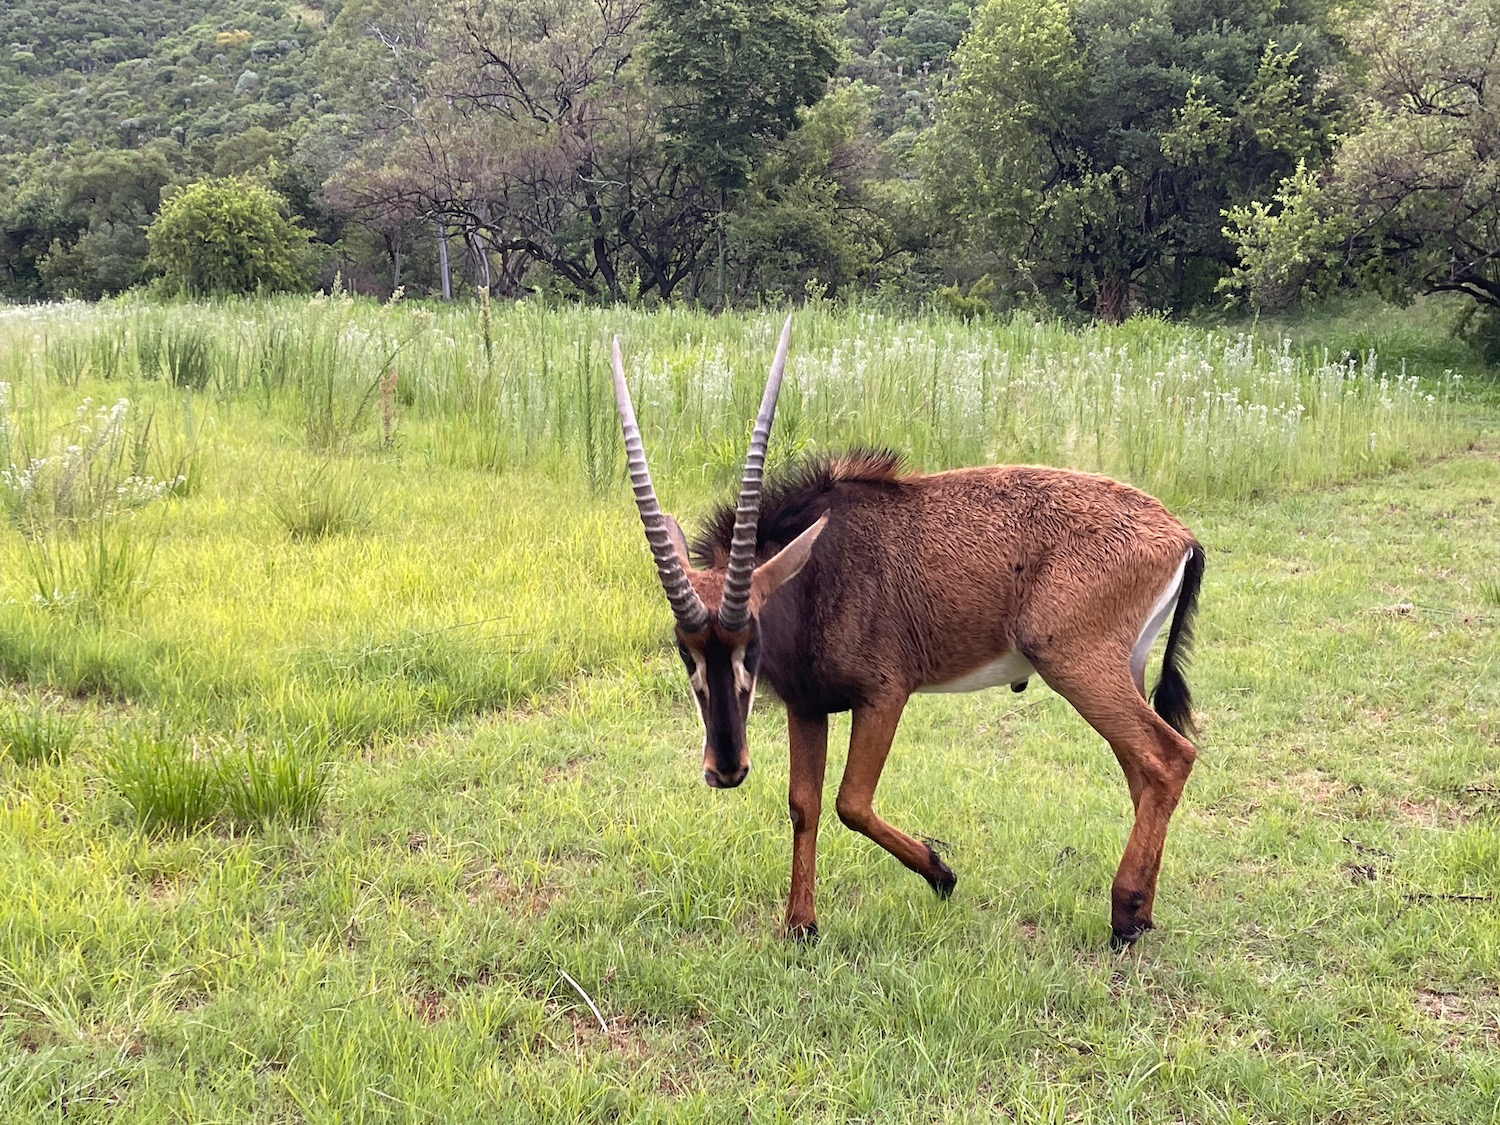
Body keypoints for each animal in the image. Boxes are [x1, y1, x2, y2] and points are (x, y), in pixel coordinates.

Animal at [609, 319, 1206, 954]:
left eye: (751, 642)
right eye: (686, 651)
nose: (726, 769)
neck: (816, 570)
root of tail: (1181, 536)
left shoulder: (883, 695)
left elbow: (850, 800)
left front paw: (942, 874)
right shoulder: (807, 706)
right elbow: (803, 803)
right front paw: (801, 925)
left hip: (1077, 665)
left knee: (1168, 756)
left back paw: (1125, 916)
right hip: (1121, 670)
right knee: (1142, 768)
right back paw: (1143, 912)